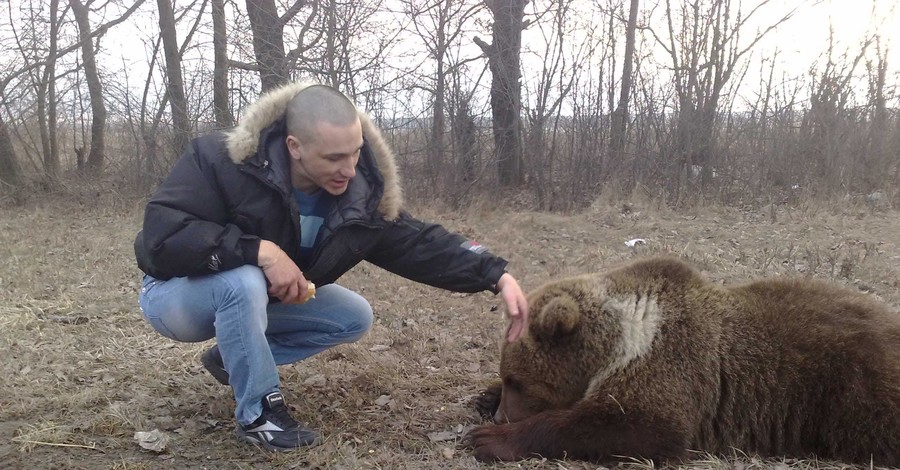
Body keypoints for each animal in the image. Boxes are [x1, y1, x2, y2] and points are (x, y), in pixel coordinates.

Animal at [468, 258, 900, 466]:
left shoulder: (670, 364)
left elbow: (642, 426)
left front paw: (489, 439)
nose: (502, 416)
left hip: (853, 391)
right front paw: (484, 398)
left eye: (520, 381)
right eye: (508, 376)